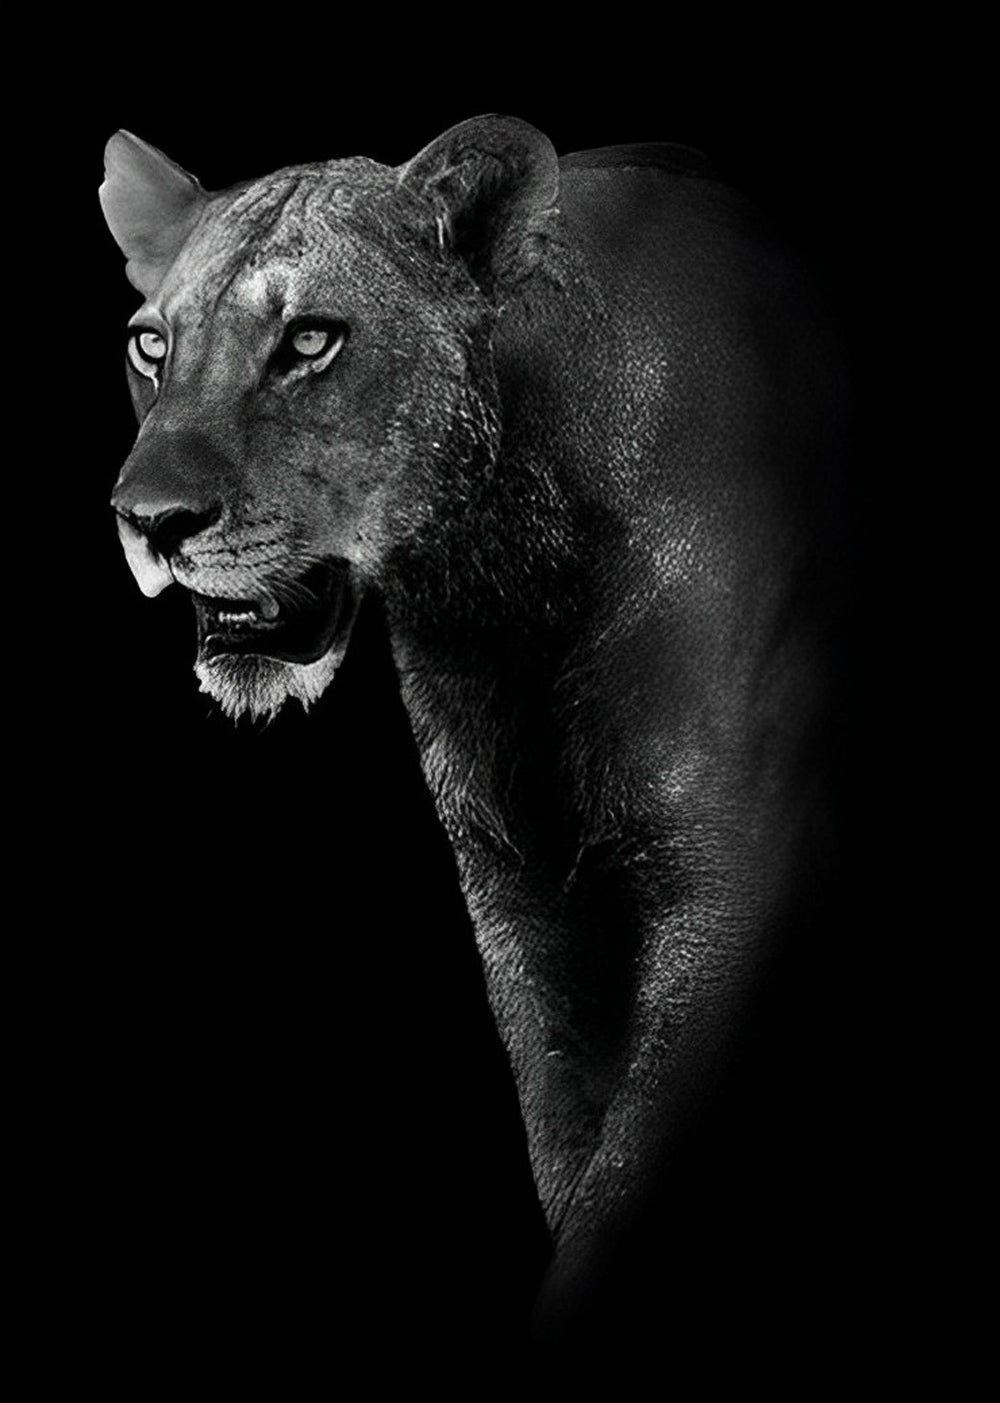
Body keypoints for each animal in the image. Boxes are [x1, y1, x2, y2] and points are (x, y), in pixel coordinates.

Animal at [101, 116, 852, 1360]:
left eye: (310, 339)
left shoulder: (724, 893)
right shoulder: (516, 894)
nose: (149, 520)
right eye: (152, 345)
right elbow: (567, 1142)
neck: (501, 590)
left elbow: (619, 1190)